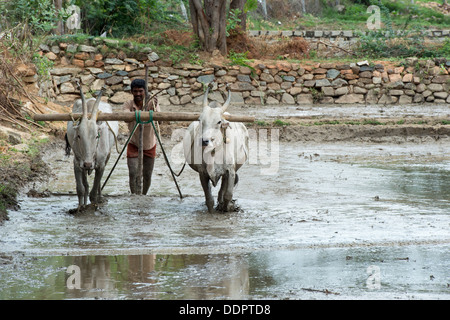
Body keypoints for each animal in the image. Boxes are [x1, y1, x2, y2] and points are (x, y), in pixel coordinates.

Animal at [183, 86, 250, 214]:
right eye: (200, 120)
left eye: (219, 122)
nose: (204, 141)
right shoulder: (202, 173)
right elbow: (209, 199)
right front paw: (212, 212)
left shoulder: (230, 170)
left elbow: (228, 194)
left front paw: (226, 209)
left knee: (222, 190)